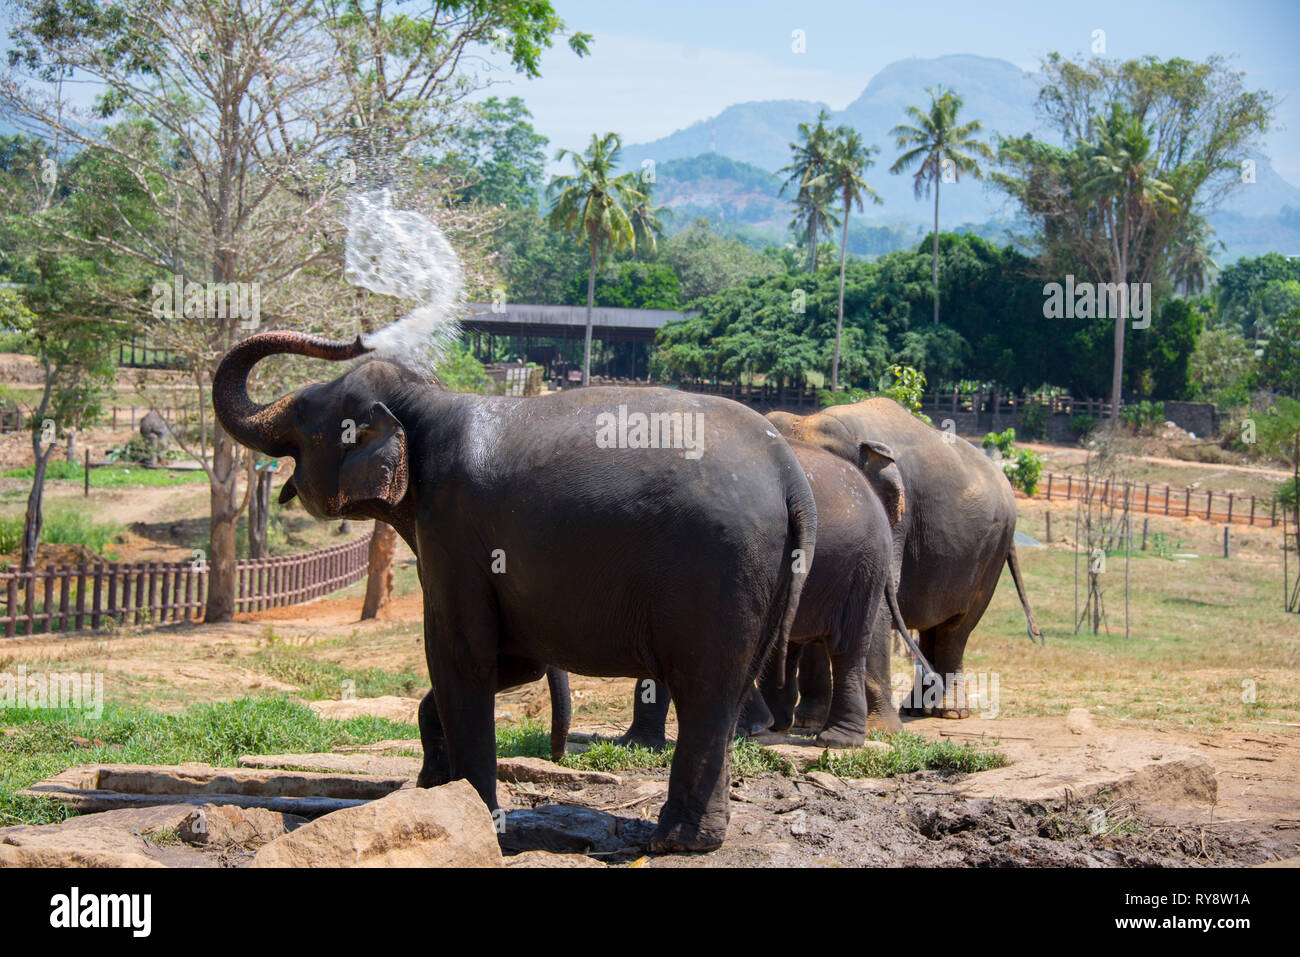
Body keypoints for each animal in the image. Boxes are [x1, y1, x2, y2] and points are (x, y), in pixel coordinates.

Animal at [212, 331, 816, 853]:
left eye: (305, 415)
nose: (358, 335)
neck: (426, 404)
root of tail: (791, 475)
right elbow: (511, 665)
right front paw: (432, 791)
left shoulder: (453, 533)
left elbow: (462, 659)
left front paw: (475, 814)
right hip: (764, 575)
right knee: (727, 692)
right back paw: (695, 837)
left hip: (718, 570)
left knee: (704, 691)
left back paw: (670, 842)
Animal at [767, 398, 1041, 719]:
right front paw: (809, 719)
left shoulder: (896, 519)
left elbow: (875, 603)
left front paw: (874, 723)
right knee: (931, 628)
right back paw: (917, 708)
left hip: (993, 550)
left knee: (957, 629)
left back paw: (951, 712)